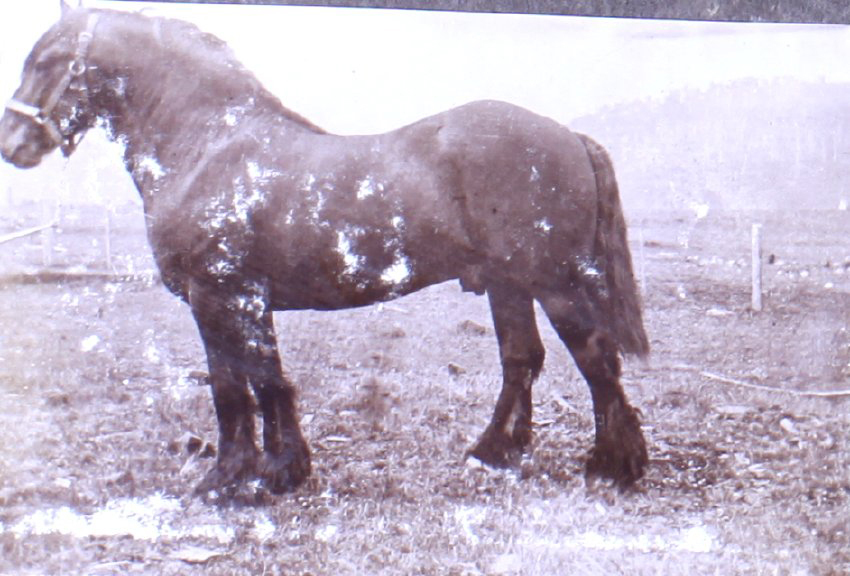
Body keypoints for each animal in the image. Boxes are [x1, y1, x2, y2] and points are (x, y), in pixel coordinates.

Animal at [0, 4, 650, 497]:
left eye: (48, 62)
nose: (13, 145)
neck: (208, 146)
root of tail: (568, 136)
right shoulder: (241, 302)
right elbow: (262, 380)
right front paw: (280, 471)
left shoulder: (220, 296)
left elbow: (237, 387)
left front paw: (230, 478)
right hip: (510, 287)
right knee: (522, 361)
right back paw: (494, 452)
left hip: (556, 285)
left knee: (597, 360)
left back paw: (613, 466)